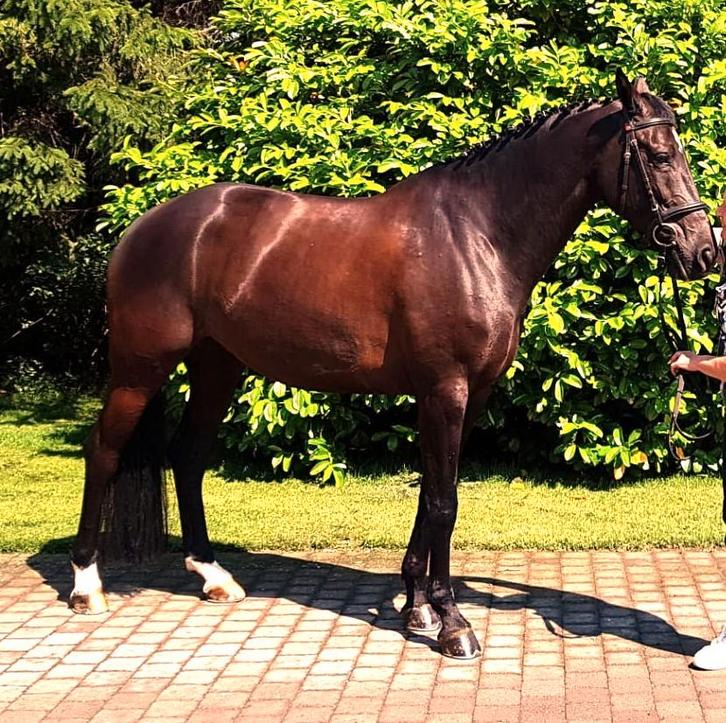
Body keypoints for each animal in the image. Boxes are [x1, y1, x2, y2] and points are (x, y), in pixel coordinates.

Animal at [69, 71, 717, 659]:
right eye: (660, 154)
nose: (703, 251)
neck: (477, 235)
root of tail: (143, 226)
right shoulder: (444, 390)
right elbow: (444, 502)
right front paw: (453, 623)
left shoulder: (468, 395)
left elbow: (432, 492)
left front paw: (419, 606)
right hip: (140, 368)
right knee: (104, 450)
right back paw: (86, 585)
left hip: (216, 367)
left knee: (188, 455)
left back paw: (214, 576)